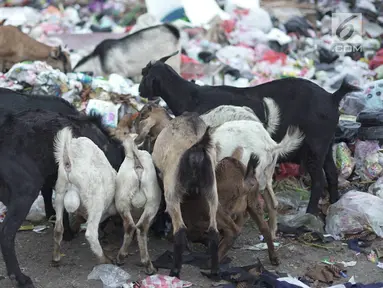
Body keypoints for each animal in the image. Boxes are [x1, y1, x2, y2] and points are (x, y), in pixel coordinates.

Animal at [52, 127, 117, 264]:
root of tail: (68, 163)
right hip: (96, 199)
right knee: (91, 233)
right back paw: (104, 259)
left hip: (60, 191)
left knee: (58, 228)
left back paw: (56, 257)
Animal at [115, 135, 161, 274]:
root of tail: (137, 164)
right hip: (152, 202)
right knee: (141, 227)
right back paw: (148, 265)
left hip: (122, 200)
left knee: (131, 226)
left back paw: (122, 257)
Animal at [139, 51, 364, 215]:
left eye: (145, 74)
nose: (140, 91)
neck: (192, 95)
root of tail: (333, 97)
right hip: (326, 144)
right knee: (332, 174)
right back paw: (334, 205)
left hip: (315, 146)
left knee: (319, 181)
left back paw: (310, 213)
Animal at [152, 113, 220, 280]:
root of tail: (196, 146)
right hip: (211, 191)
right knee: (214, 232)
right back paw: (214, 271)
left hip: (172, 191)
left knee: (180, 230)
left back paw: (175, 271)